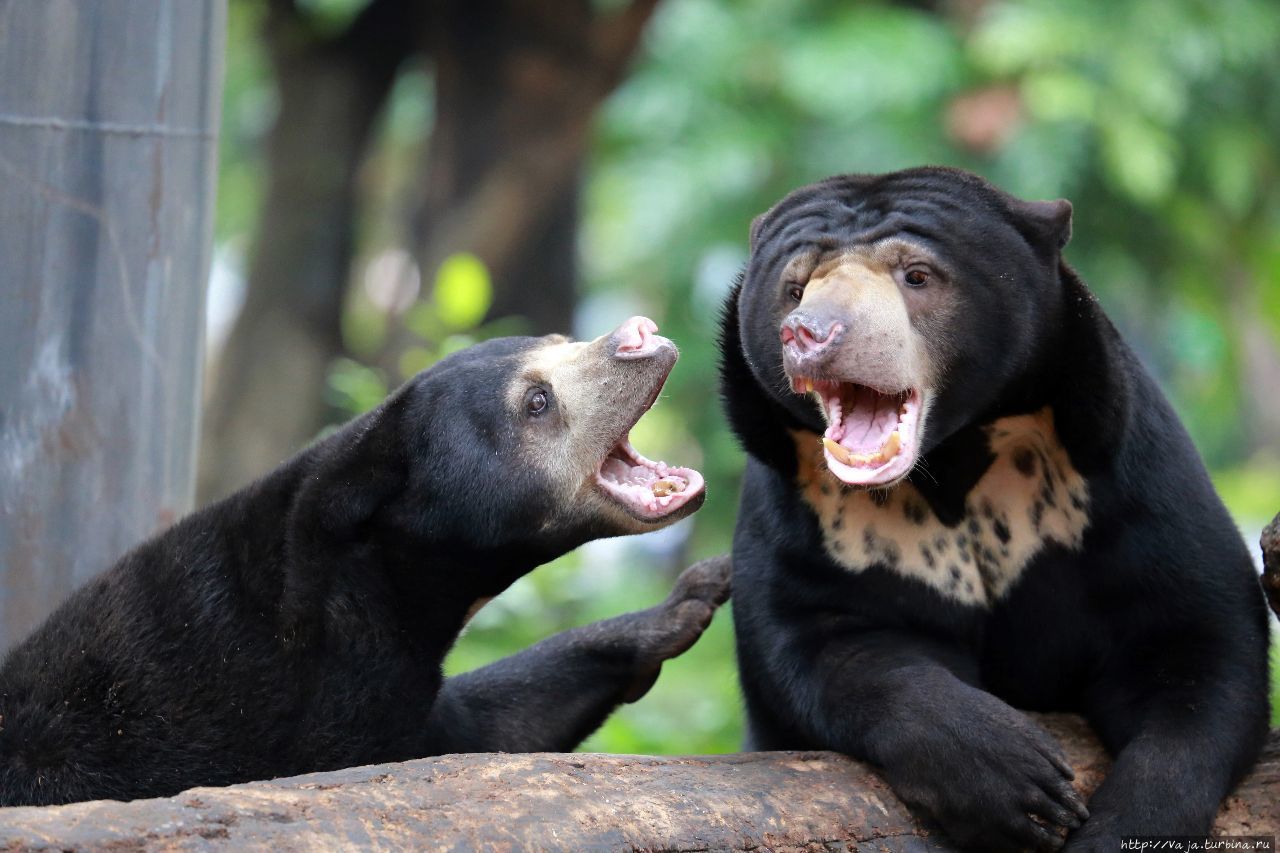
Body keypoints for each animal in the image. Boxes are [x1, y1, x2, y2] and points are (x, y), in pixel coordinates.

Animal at [0, 313, 732, 804]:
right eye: (537, 402)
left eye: (556, 340)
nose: (641, 333)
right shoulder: (307, 701)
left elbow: (491, 722)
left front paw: (693, 594)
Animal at [721, 167, 1269, 850]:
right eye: (794, 288)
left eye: (917, 276)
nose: (808, 334)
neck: (953, 460)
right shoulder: (808, 517)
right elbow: (821, 642)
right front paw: (1017, 783)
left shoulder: (1128, 481)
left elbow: (1198, 648)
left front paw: (1116, 827)